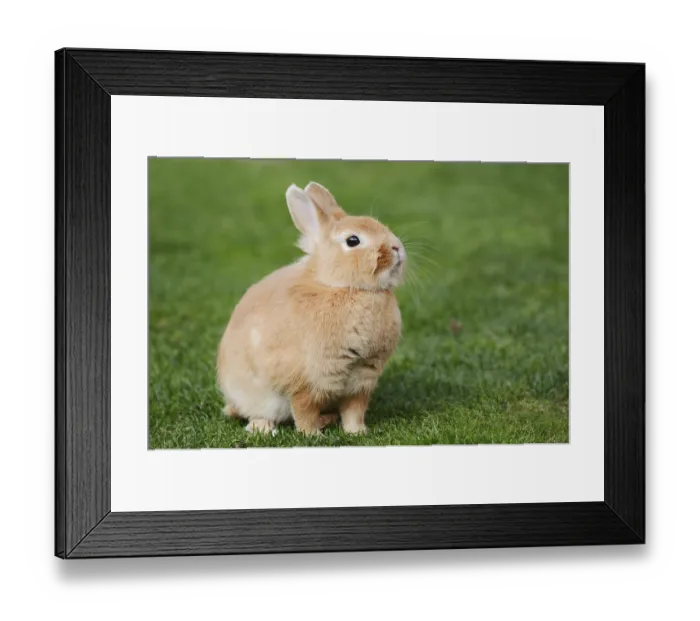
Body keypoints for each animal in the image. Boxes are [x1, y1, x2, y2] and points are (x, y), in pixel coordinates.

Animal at [217, 181, 407, 436]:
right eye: (353, 241)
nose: (397, 248)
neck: (343, 286)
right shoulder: (308, 382)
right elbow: (304, 411)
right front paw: (312, 435)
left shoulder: (361, 380)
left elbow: (354, 411)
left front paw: (357, 432)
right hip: (254, 395)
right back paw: (263, 428)